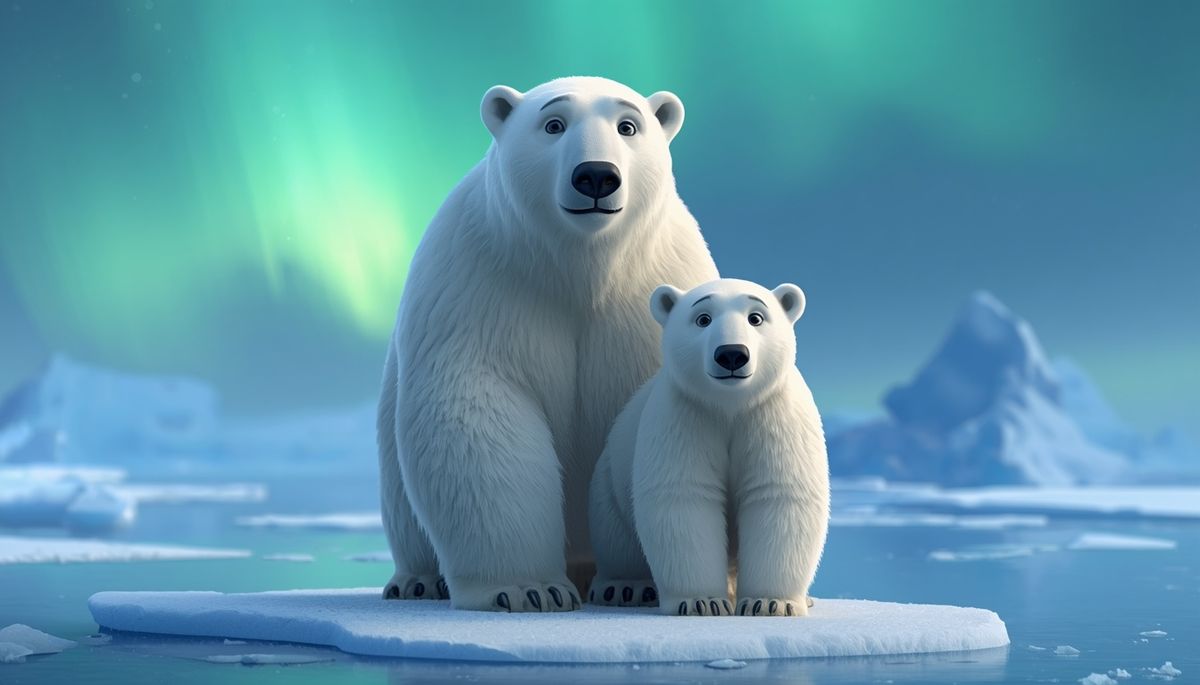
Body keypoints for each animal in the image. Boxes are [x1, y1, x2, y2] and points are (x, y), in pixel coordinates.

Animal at [377, 77, 719, 612]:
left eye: (628, 126)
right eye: (554, 124)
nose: (596, 176)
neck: (580, 267)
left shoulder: (651, 291)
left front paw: (635, 584)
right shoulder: (482, 283)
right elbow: (478, 409)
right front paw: (527, 590)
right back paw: (417, 581)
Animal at [588, 278, 829, 616]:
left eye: (756, 318)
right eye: (703, 319)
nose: (731, 354)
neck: (730, 405)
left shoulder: (773, 413)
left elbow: (778, 494)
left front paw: (770, 602)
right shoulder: (686, 415)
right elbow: (684, 496)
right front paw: (701, 601)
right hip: (609, 484)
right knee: (616, 538)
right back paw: (624, 587)